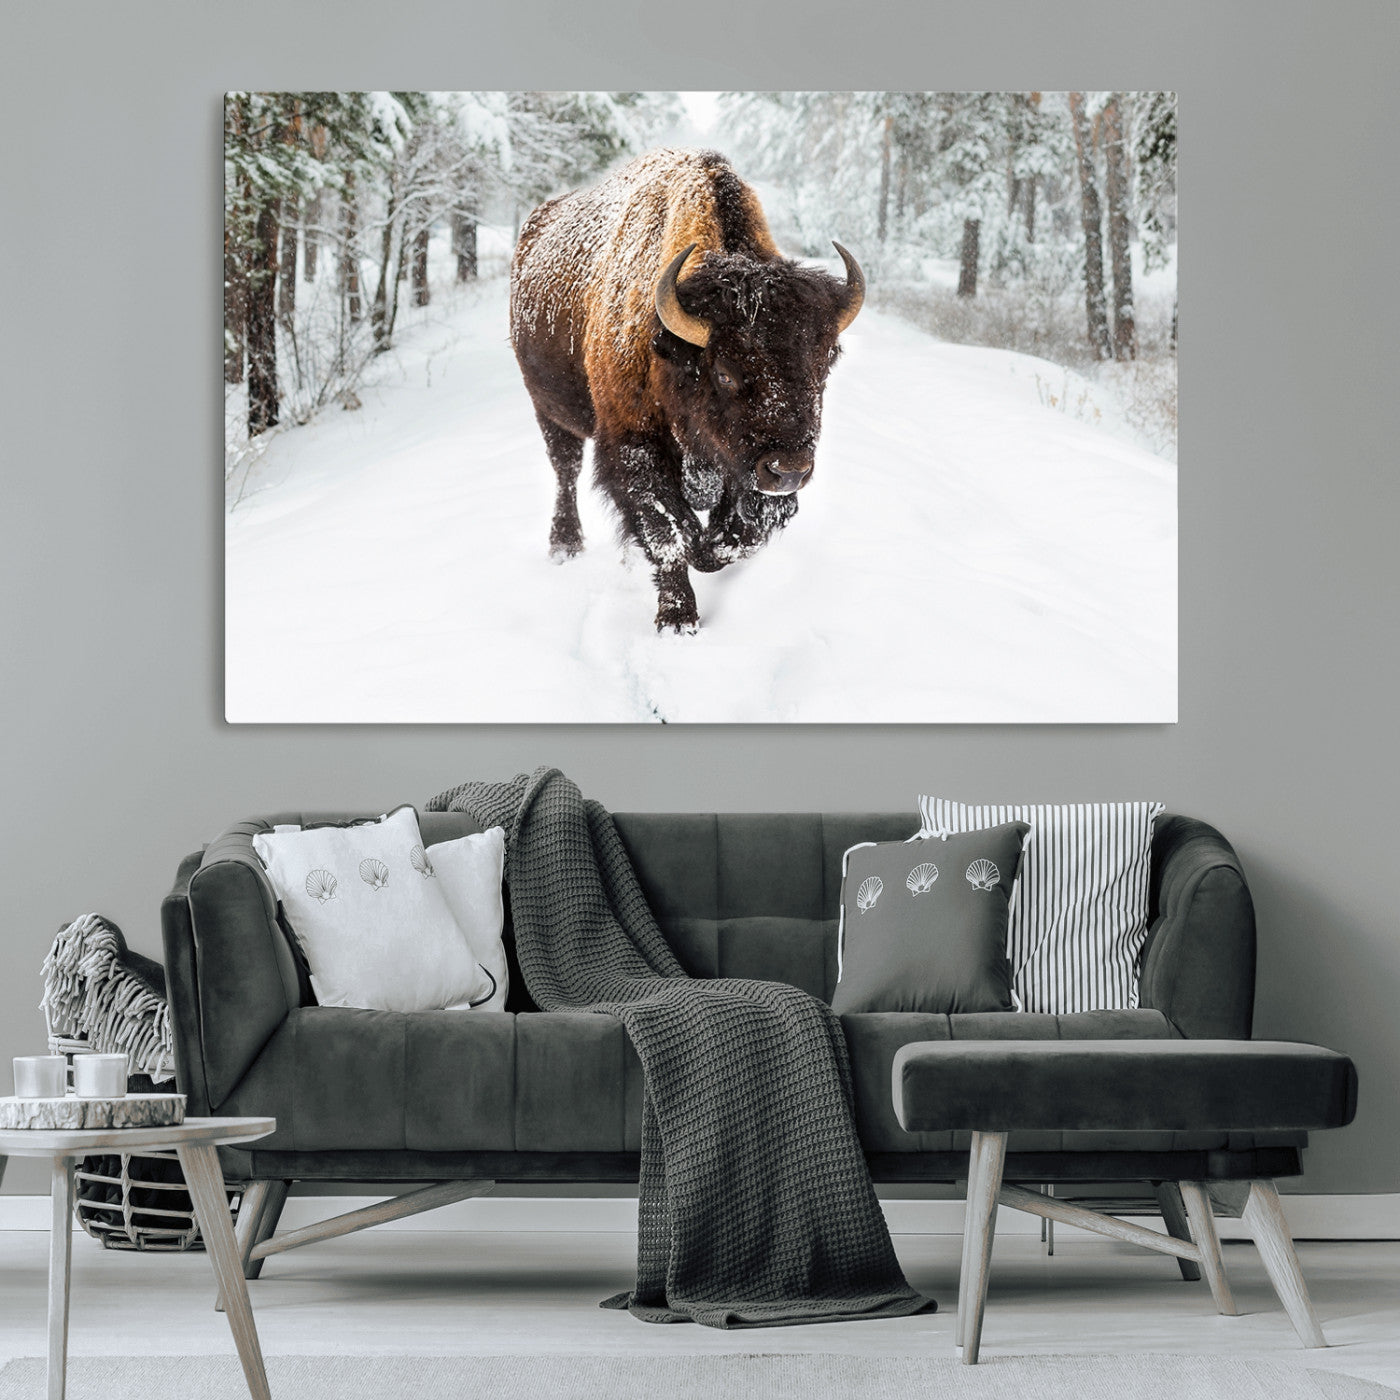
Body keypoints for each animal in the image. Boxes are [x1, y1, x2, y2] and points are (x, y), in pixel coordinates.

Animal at [510, 147, 863, 632]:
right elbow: (669, 534)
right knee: (565, 470)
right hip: (547, 409)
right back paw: (565, 545)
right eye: (725, 373)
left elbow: (739, 535)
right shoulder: (634, 446)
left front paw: (710, 547)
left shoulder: (741, 469)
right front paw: (678, 620)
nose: (789, 470)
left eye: (825, 363)